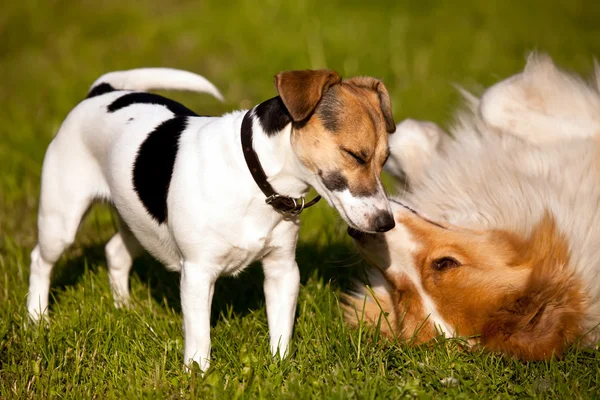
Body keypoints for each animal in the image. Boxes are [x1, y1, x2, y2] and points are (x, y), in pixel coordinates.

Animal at [27, 67, 398, 370]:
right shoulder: (197, 273)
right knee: (40, 261)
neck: (254, 175)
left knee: (115, 251)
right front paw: (198, 375)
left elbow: (281, 328)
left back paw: (123, 307)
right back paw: (37, 317)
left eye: (384, 160)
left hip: (136, 218)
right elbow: (199, 336)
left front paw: (280, 367)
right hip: (62, 220)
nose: (386, 224)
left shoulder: (282, 270)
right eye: (355, 155)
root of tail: (102, 92)